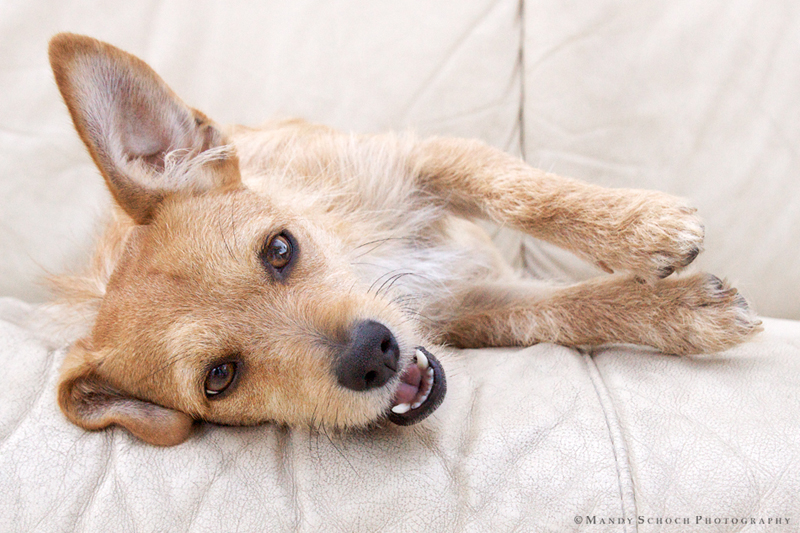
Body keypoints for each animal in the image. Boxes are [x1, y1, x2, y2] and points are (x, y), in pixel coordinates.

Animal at [48, 33, 760, 446]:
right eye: (219, 378)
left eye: (280, 249)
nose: (373, 353)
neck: (362, 248)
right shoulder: (475, 309)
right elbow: (562, 309)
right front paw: (680, 310)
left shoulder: (423, 160)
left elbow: (520, 190)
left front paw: (643, 226)